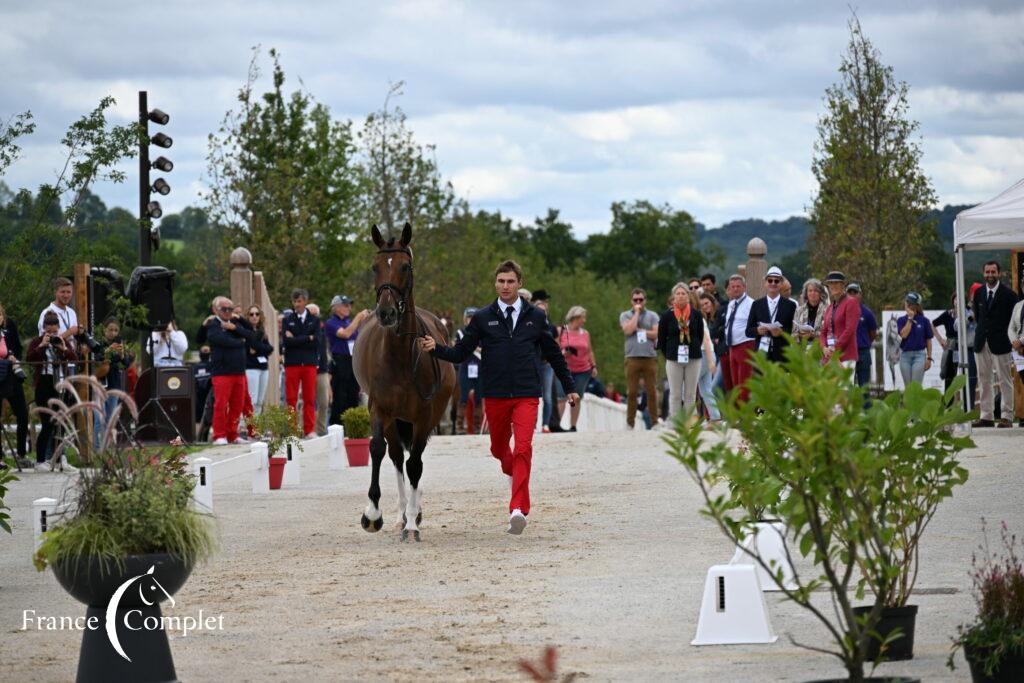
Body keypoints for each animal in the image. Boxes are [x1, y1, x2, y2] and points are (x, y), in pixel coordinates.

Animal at [356, 222, 456, 540]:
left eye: (405, 266)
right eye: (375, 267)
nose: (386, 313)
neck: (400, 355)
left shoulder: (424, 415)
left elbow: (416, 465)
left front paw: (413, 521)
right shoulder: (379, 408)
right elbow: (378, 450)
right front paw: (373, 515)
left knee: (413, 459)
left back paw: (412, 514)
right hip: (394, 419)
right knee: (397, 455)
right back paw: (400, 514)